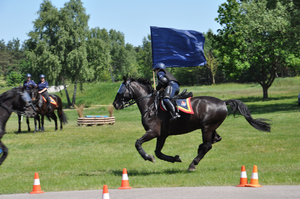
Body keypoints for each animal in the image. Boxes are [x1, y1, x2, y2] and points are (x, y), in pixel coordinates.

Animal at [113, 77, 272, 170]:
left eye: (122, 88)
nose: (115, 104)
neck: (150, 105)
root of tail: (223, 102)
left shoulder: (153, 132)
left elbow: (138, 143)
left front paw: (147, 157)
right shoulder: (162, 135)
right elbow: (158, 153)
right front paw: (175, 158)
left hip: (207, 127)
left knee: (208, 145)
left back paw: (193, 164)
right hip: (210, 127)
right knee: (215, 140)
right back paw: (197, 152)